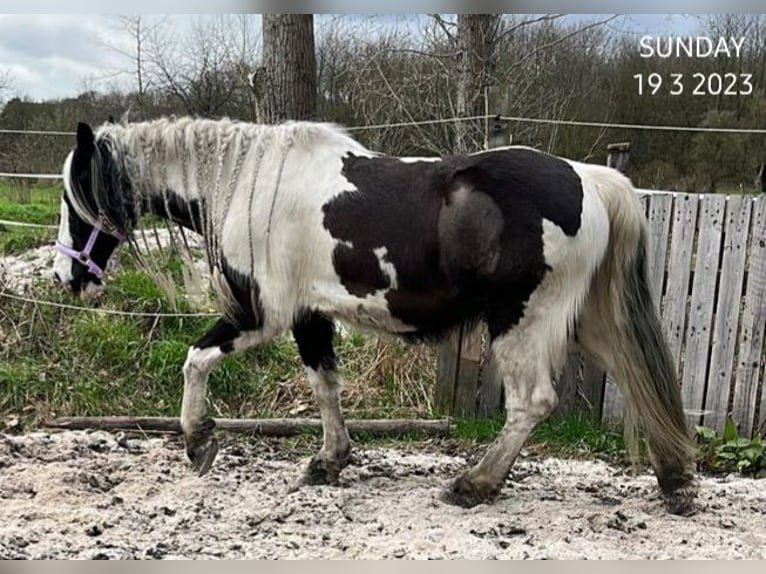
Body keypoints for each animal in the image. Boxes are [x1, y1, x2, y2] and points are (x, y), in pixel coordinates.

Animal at [52, 117, 704, 516]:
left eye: (71, 196)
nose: (67, 277)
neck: (246, 182)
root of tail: (591, 178)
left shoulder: (262, 313)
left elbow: (195, 359)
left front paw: (197, 441)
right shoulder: (310, 316)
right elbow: (326, 386)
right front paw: (329, 461)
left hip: (521, 324)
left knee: (533, 403)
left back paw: (474, 485)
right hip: (583, 322)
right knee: (638, 376)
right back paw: (675, 481)